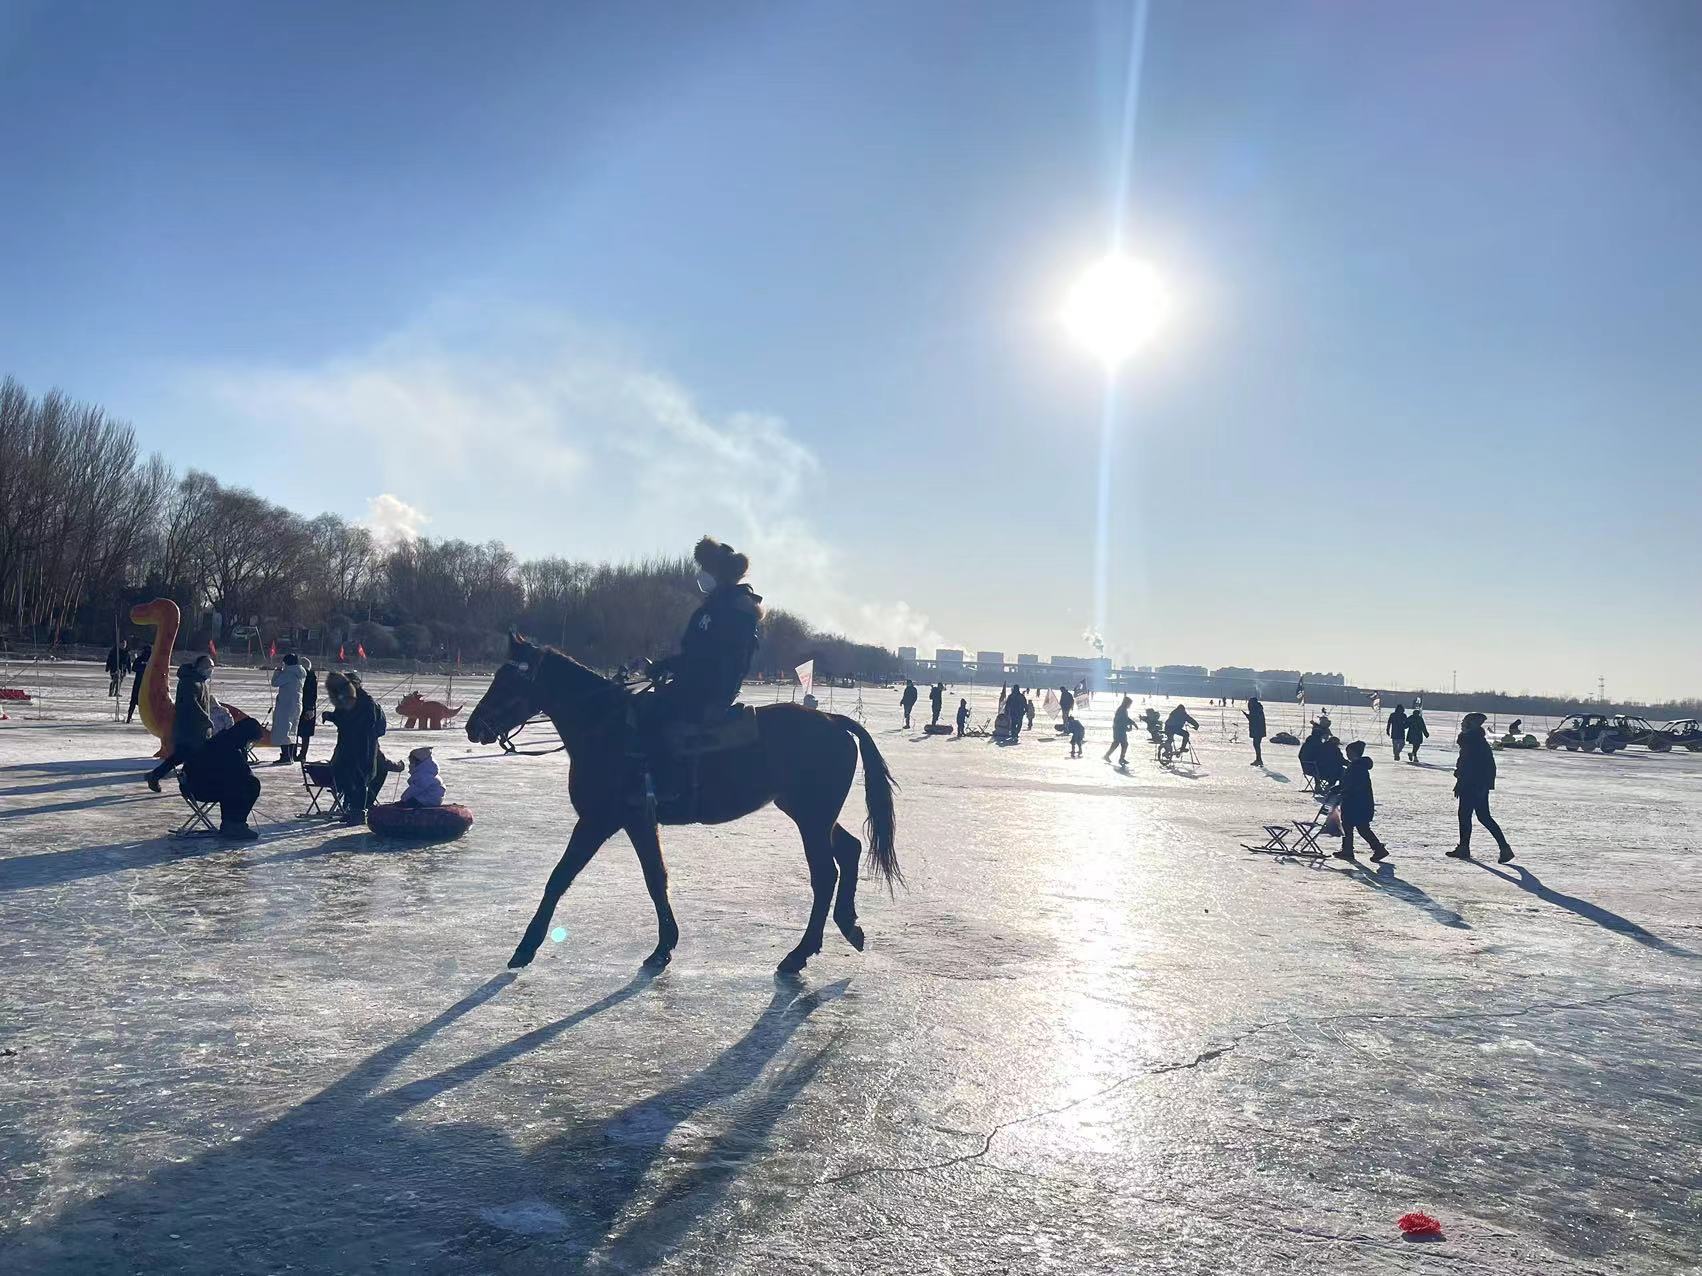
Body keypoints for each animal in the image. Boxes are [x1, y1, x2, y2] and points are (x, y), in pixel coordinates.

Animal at [459, 639, 898, 979]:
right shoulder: (636, 820)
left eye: (510, 680)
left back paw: (799, 954)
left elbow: (560, 878)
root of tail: (833, 719)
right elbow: (656, 878)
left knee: (824, 875)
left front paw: (526, 947)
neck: (606, 728)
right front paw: (664, 945)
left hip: (811, 817)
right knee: (850, 849)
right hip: (810, 813)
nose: (473, 727)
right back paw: (849, 926)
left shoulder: (602, 819)